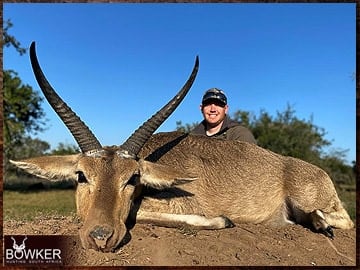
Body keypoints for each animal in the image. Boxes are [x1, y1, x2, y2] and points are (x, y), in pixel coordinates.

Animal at [11, 41, 354, 252]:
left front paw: (223, 220)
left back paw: (318, 221)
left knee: (344, 220)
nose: (100, 237)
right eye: (82, 176)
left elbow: (139, 213)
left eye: (132, 178)